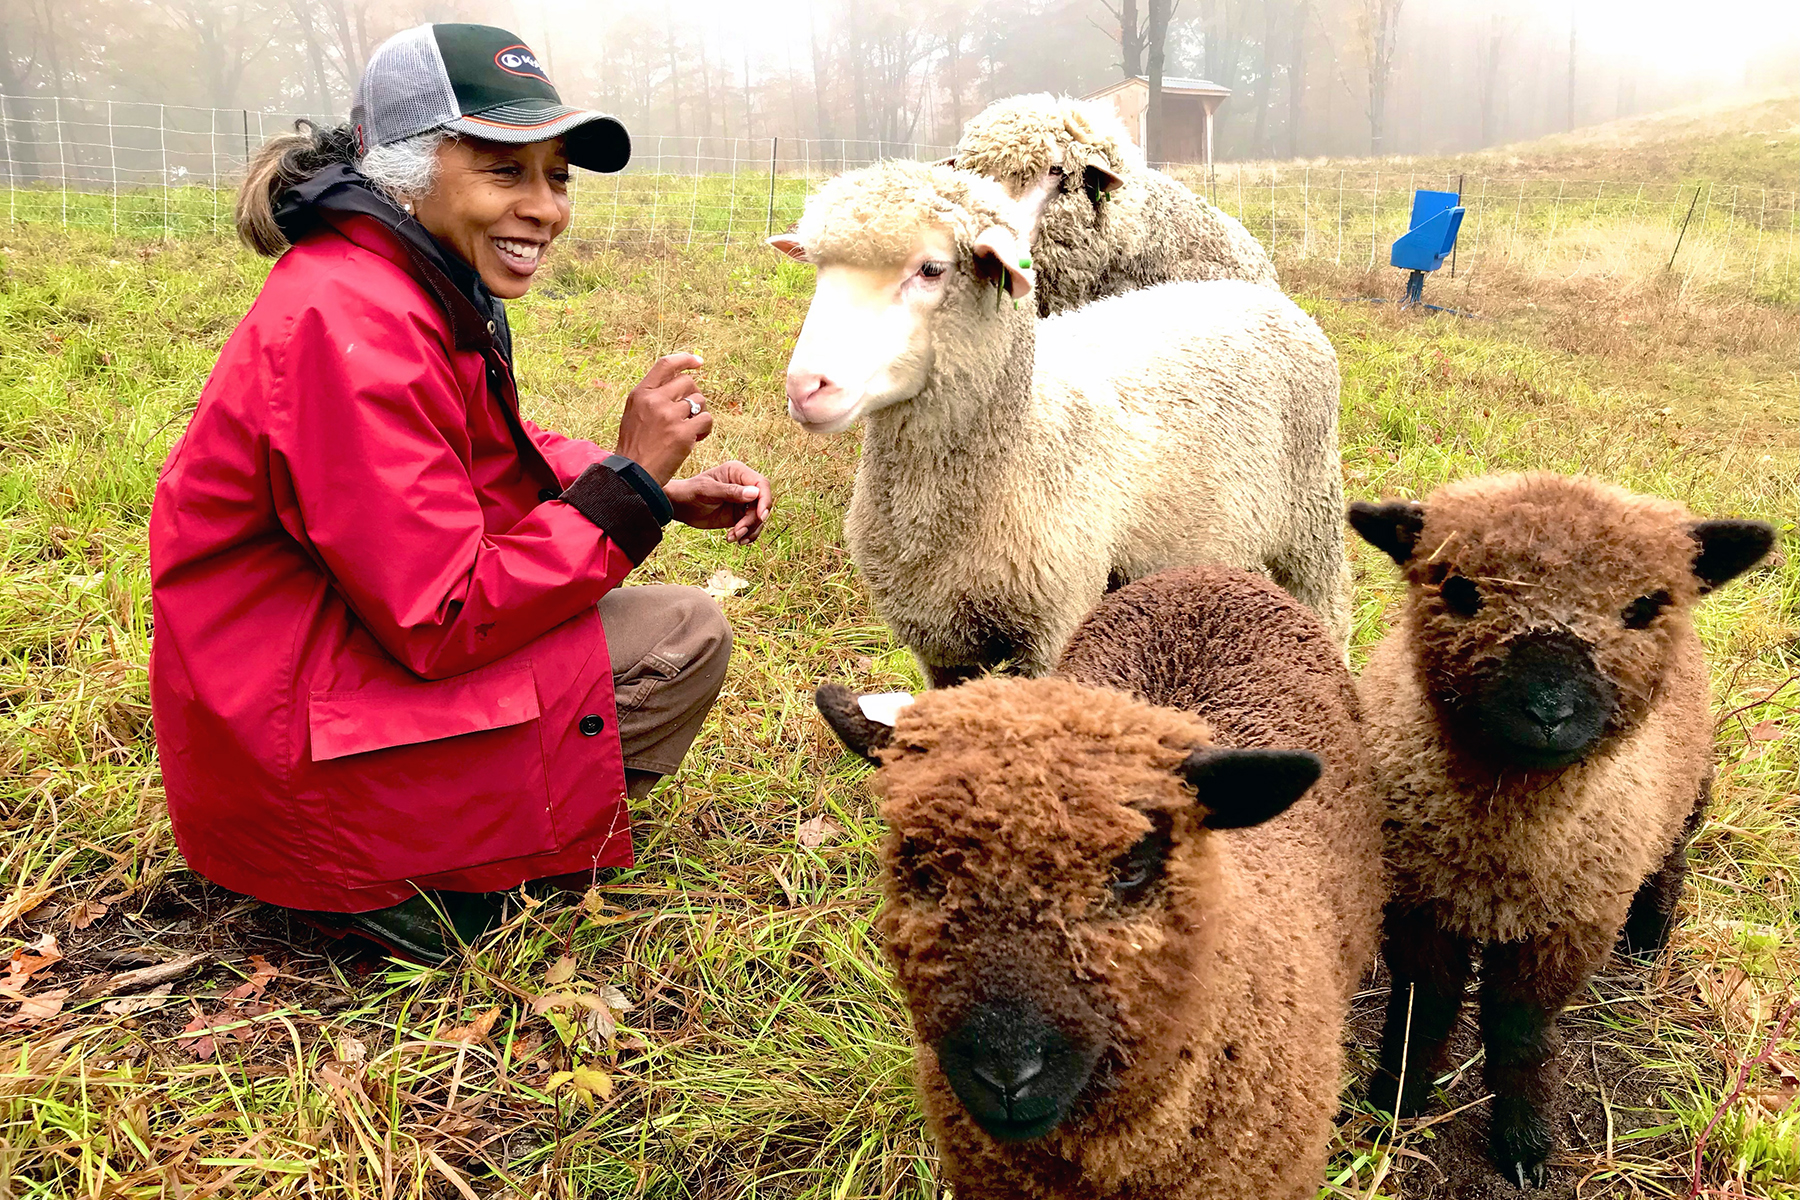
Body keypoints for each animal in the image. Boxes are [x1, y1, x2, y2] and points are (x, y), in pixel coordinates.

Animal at [763, 159, 1353, 683]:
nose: (805, 387)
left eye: (931, 269)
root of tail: (1257, 293)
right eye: (820, 272)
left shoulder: (1058, 624)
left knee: (1331, 610)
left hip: (1314, 521)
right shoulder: (940, 645)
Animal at [1353, 471, 1771, 1194]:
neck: (1506, 851)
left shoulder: (1571, 926)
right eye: (1459, 590)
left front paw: (1524, 1144)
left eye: (1643, 606)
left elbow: (1520, 1032)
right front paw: (1393, 1104)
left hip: (1689, 789)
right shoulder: (1418, 907)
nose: (1549, 711)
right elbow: (1422, 1009)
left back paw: (1650, 940)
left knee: (1673, 859)